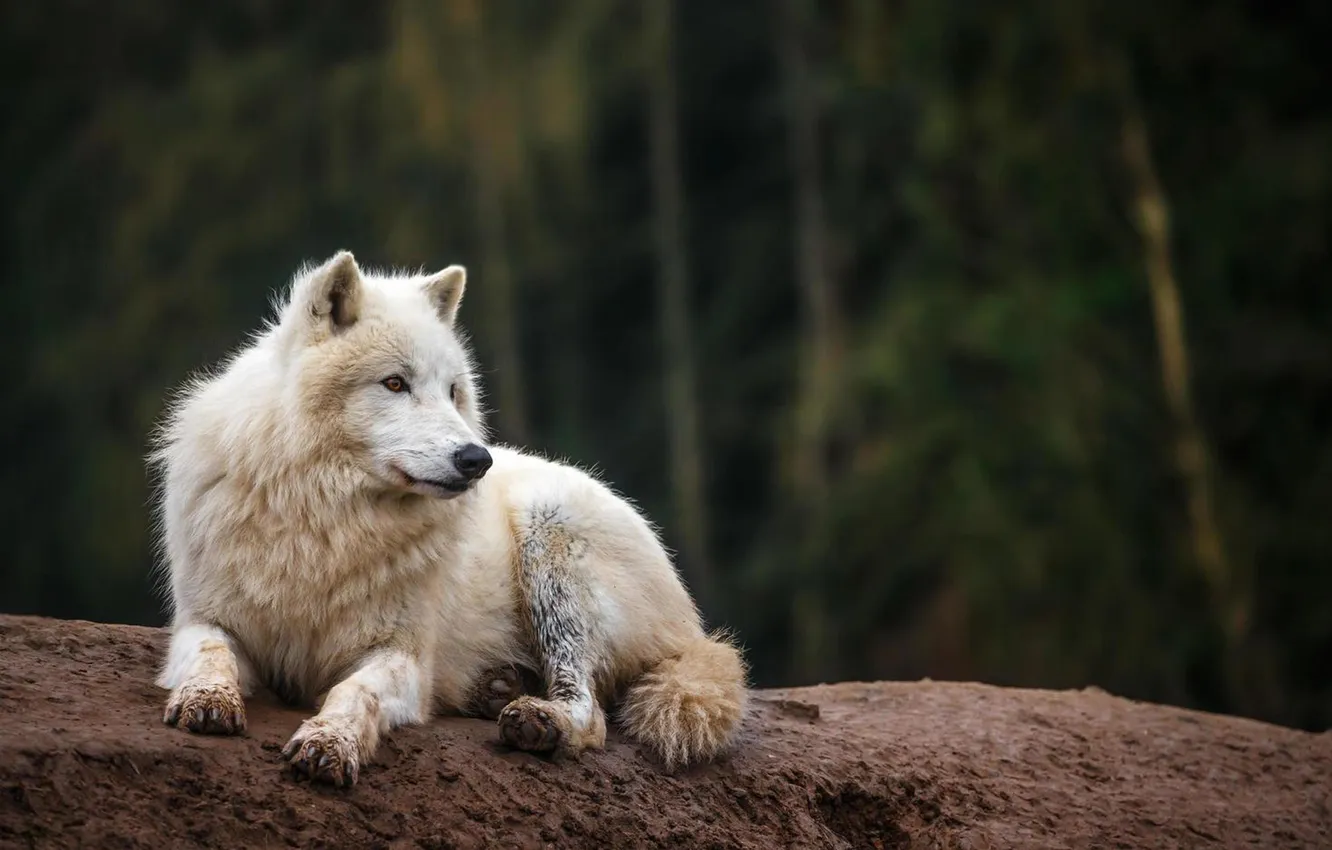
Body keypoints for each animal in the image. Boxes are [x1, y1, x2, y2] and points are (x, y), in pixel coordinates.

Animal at [151, 251, 747, 786]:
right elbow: (210, 654)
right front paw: (207, 700)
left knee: (591, 714)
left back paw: (538, 719)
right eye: (395, 383)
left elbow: (353, 691)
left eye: (453, 391)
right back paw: (497, 689)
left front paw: (329, 742)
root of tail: (691, 624)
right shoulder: (207, 619)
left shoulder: (403, 656)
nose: (476, 459)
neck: (328, 521)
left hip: (548, 542)